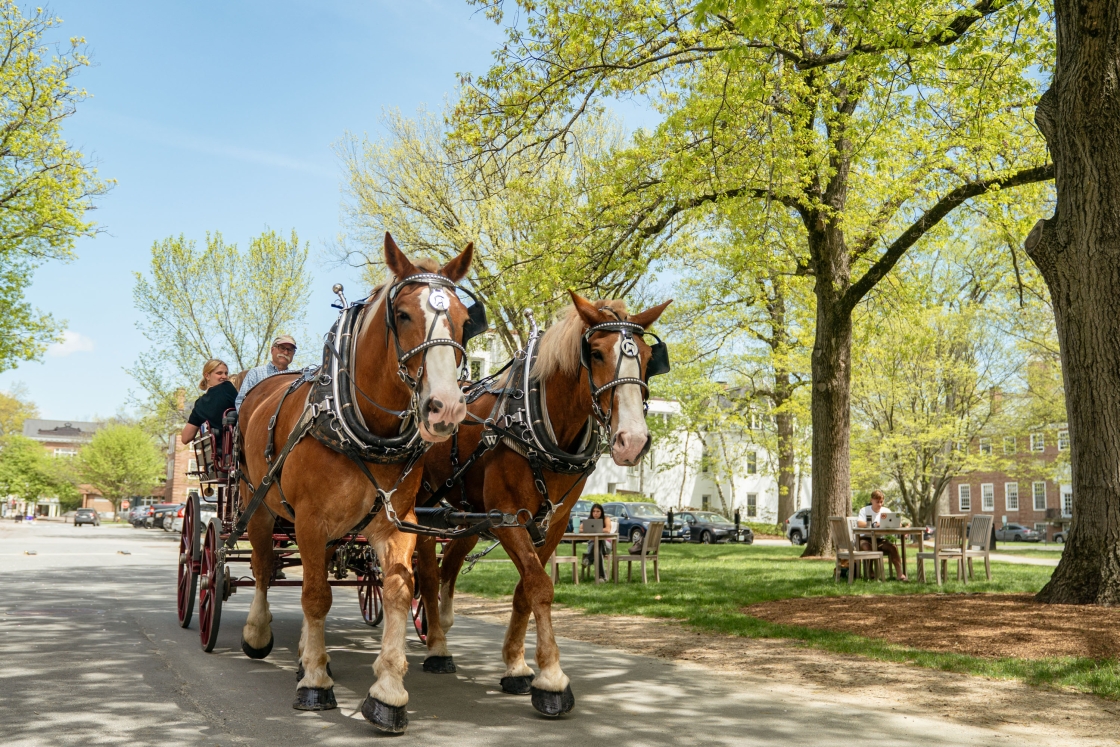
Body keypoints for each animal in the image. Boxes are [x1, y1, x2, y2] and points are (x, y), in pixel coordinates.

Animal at [235, 233, 478, 733]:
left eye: (465, 322)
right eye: (403, 314)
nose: (445, 408)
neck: (367, 429)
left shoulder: (396, 521)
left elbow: (400, 591)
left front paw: (387, 691)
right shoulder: (309, 520)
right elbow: (313, 595)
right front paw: (314, 684)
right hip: (259, 503)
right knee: (264, 566)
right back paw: (259, 633)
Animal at [413, 292, 671, 716]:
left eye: (649, 358)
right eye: (595, 353)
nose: (632, 441)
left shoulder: (554, 521)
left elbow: (525, 590)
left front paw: (516, 666)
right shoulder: (507, 516)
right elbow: (539, 586)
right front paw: (551, 678)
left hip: (465, 511)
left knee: (449, 561)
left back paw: (444, 625)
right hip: (421, 505)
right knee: (429, 572)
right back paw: (436, 646)